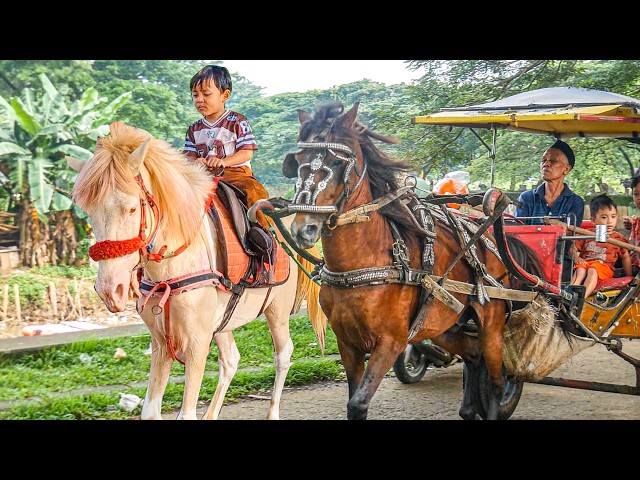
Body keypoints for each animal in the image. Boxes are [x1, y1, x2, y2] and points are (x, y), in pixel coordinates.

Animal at [66, 121, 326, 420]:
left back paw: (273, 411)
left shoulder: (196, 343)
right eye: (88, 212)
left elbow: (186, 413)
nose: (110, 290)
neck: (169, 268)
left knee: (283, 355)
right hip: (222, 320)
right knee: (231, 360)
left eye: (131, 208)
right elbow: (150, 411)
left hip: (277, 310)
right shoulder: (161, 344)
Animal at [259, 100, 548, 420]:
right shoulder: (348, 343)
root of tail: (494, 239)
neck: (365, 263)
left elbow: (357, 404)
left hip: (491, 322)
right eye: (297, 161)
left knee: (497, 382)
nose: (304, 228)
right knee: (472, 355)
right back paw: (467, 409)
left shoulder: (390, 342)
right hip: (442, 324)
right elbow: (353, 396)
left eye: (336, 163)